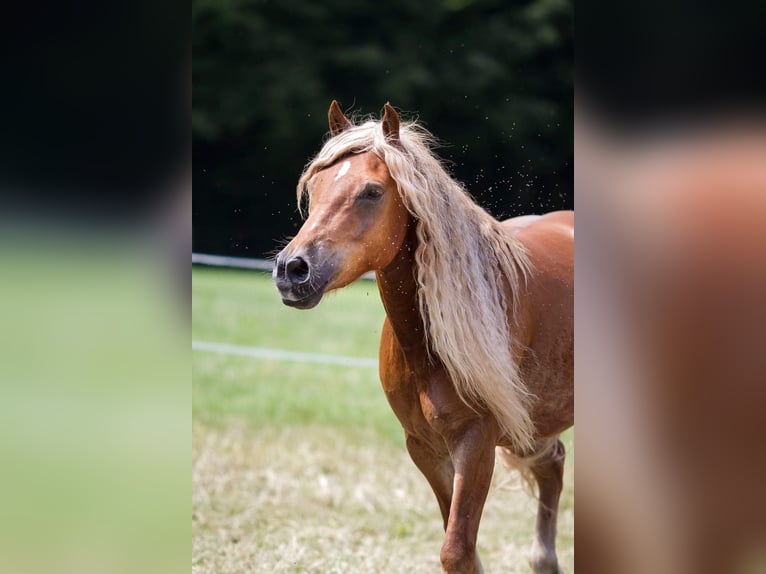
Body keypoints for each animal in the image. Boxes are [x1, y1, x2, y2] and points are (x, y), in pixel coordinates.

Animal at [272, 101, 572, 572]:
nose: (292, 270)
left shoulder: (476, 441)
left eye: (372, 191)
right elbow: (461, 548)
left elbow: (457, 550)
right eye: (315, 185)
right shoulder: (425, 447)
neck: (428, 349)